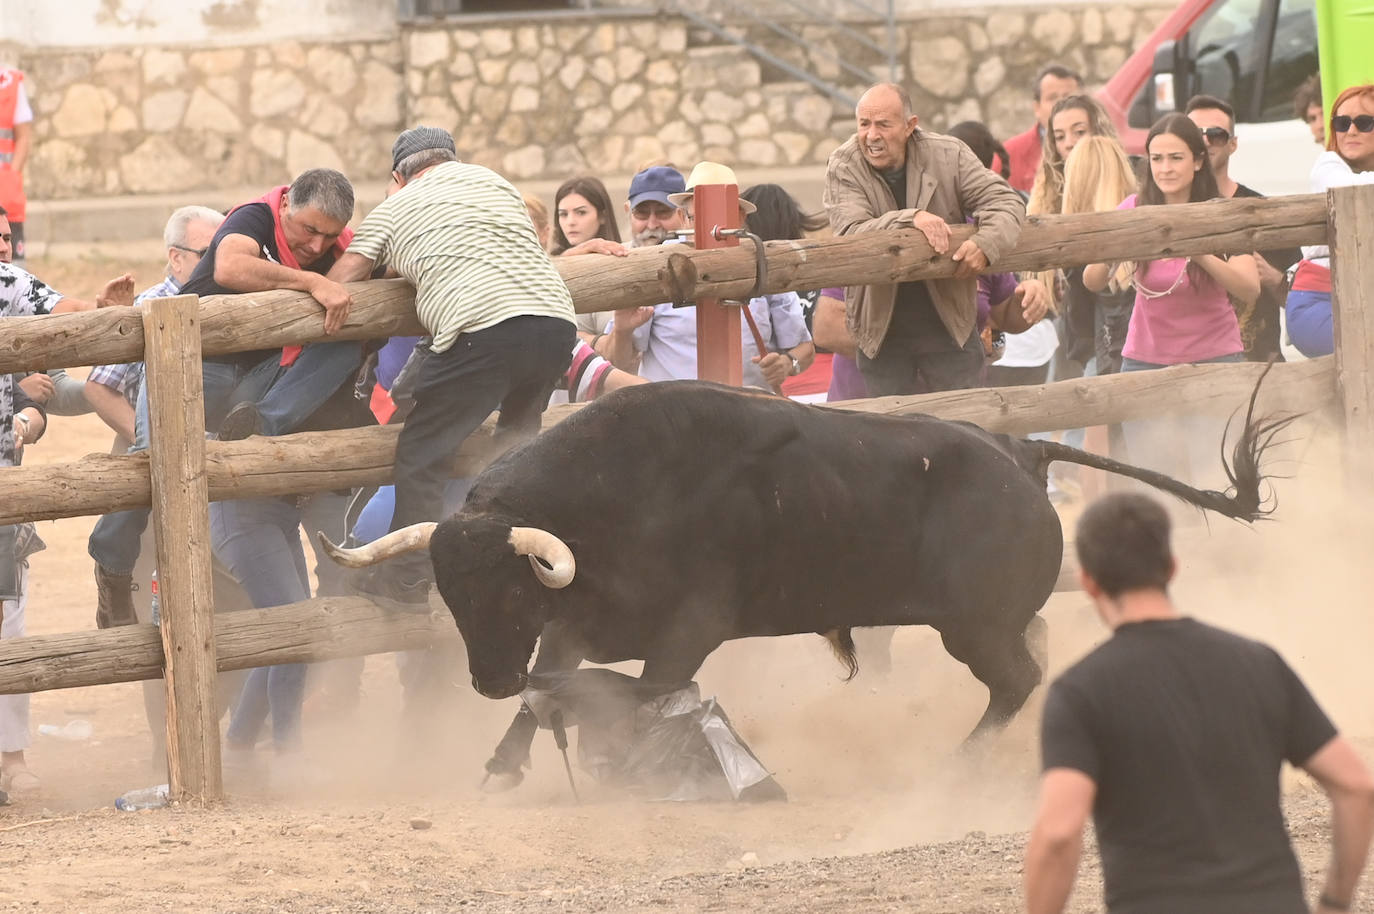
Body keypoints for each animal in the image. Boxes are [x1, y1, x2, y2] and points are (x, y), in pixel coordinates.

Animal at [321, 373, 1286, 786]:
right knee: (1037, 656)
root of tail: (1020, 449)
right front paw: (504, 763)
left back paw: (961, 763)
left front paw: (619, 755)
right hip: (989, 621)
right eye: (450, 594)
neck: (616, 496)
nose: (485, 679)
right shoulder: (587, 624)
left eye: (506, 589)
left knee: (1017, 677)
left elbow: (635, 693)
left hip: (972, 627)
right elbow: (552, 683)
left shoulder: (688, 630)